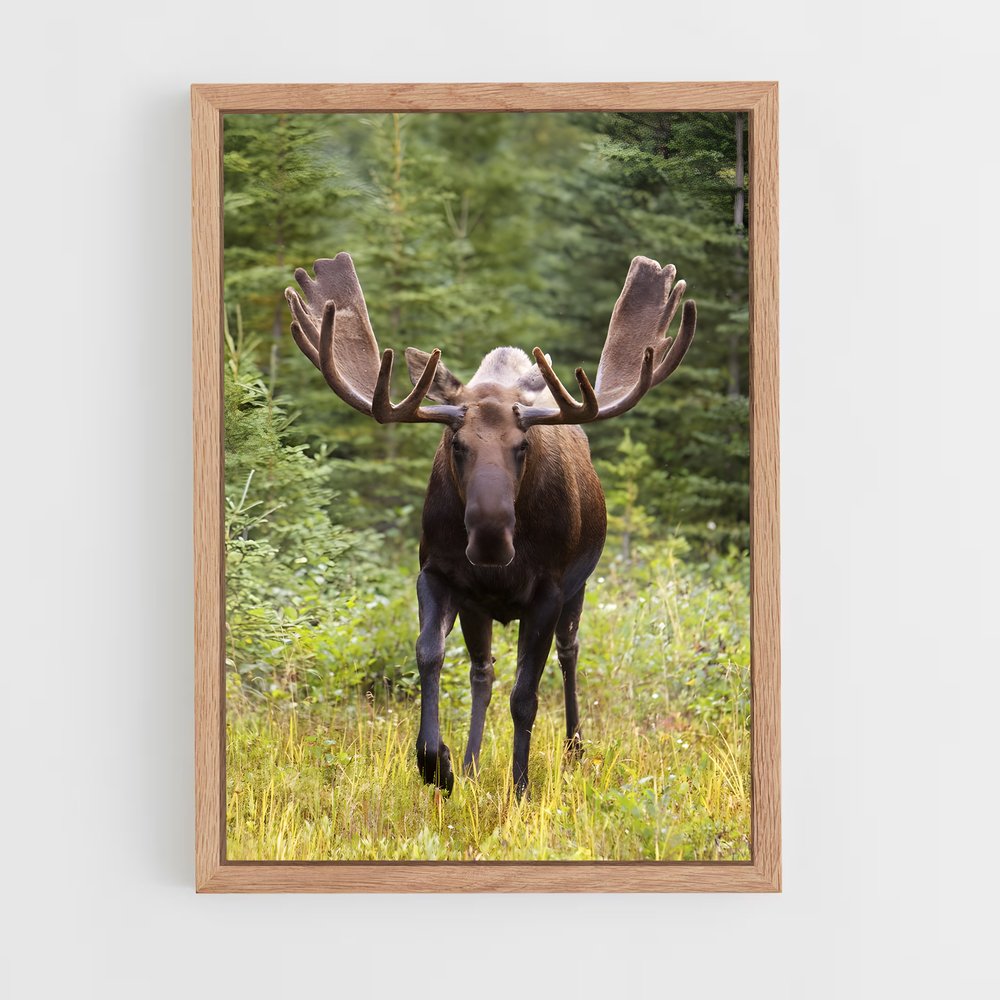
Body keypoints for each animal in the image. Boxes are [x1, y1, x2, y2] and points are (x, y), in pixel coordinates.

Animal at [285, 252, 696, 797]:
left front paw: (520, 788)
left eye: (522, 445)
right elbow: (429, 656)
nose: (489, 539)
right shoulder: (437, 575)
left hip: (579, 587)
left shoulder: (548, 591)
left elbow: (526, 697)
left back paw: (573, 748)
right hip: (478, 607)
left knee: (569, 653)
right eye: (456, 443)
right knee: (483, 671)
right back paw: (473, 761)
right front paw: (436, 762)